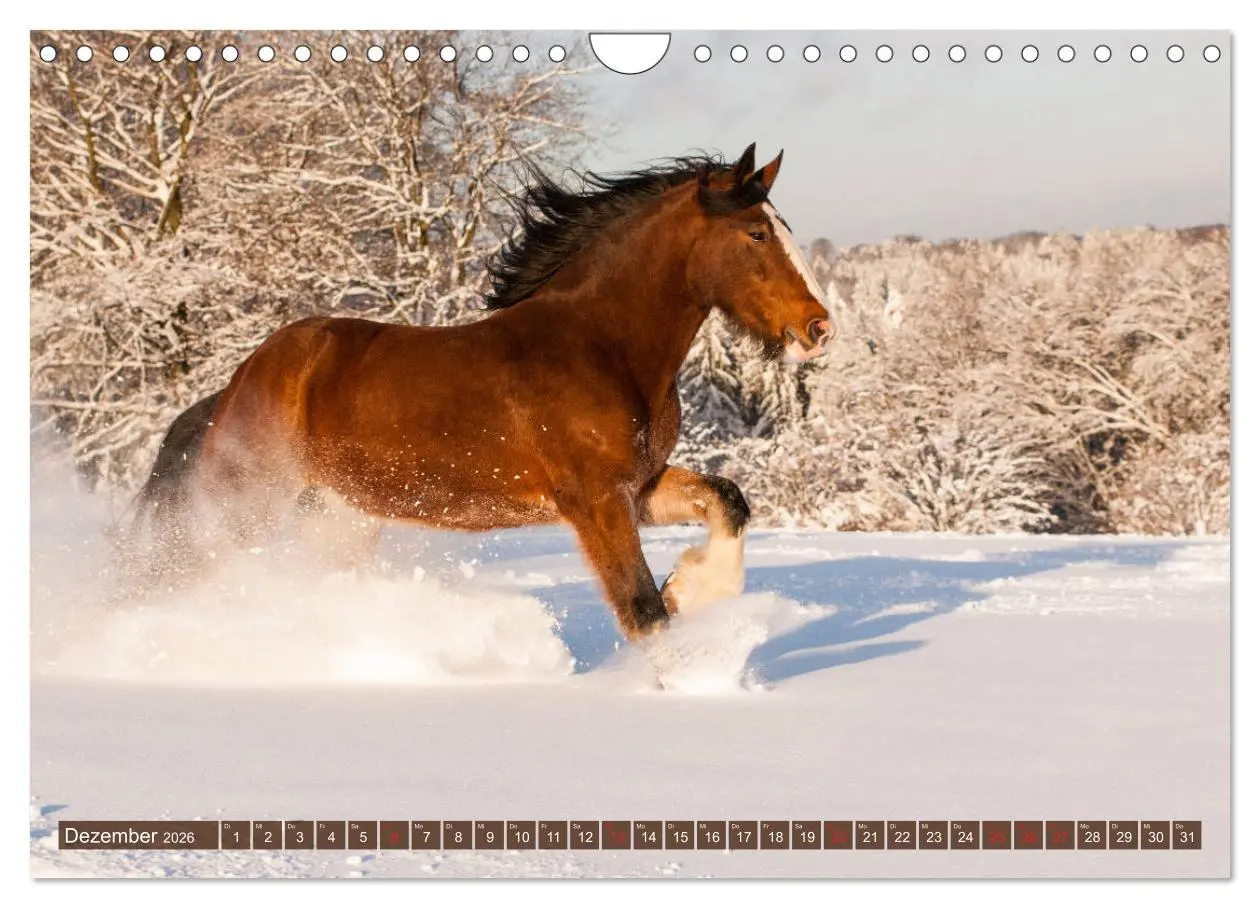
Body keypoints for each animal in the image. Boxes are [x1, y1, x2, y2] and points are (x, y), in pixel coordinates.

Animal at [129, 143, 835, 641]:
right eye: (756, 233)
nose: (819, 328)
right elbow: (642, 611)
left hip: (337, 515)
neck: (600, 345)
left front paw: (693, 587)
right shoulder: (595, 501)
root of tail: (234, 385)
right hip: (244, 501)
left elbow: (727, 501)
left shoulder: (639, 486)